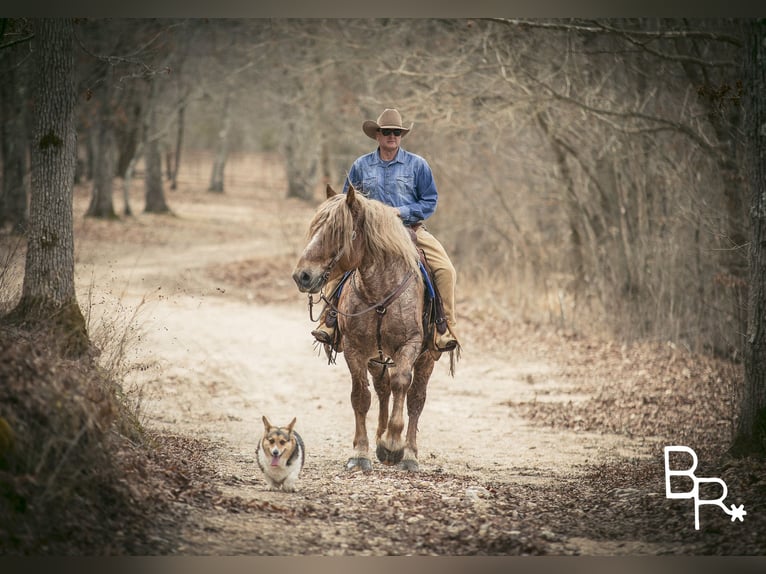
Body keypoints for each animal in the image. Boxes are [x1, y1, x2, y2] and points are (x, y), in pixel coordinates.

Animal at [292, 184, 450, 472]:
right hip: (376, 357)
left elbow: (401, 384)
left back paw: (409, 455)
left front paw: (393, 445)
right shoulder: (355, 349)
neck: (380, 293)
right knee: (382, 389)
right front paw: (362, 452)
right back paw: (380, 438)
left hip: (427, 357)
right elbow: (360, 396)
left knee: (415, 399)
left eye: (337, 232)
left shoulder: (409, 345)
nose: (303, 276)